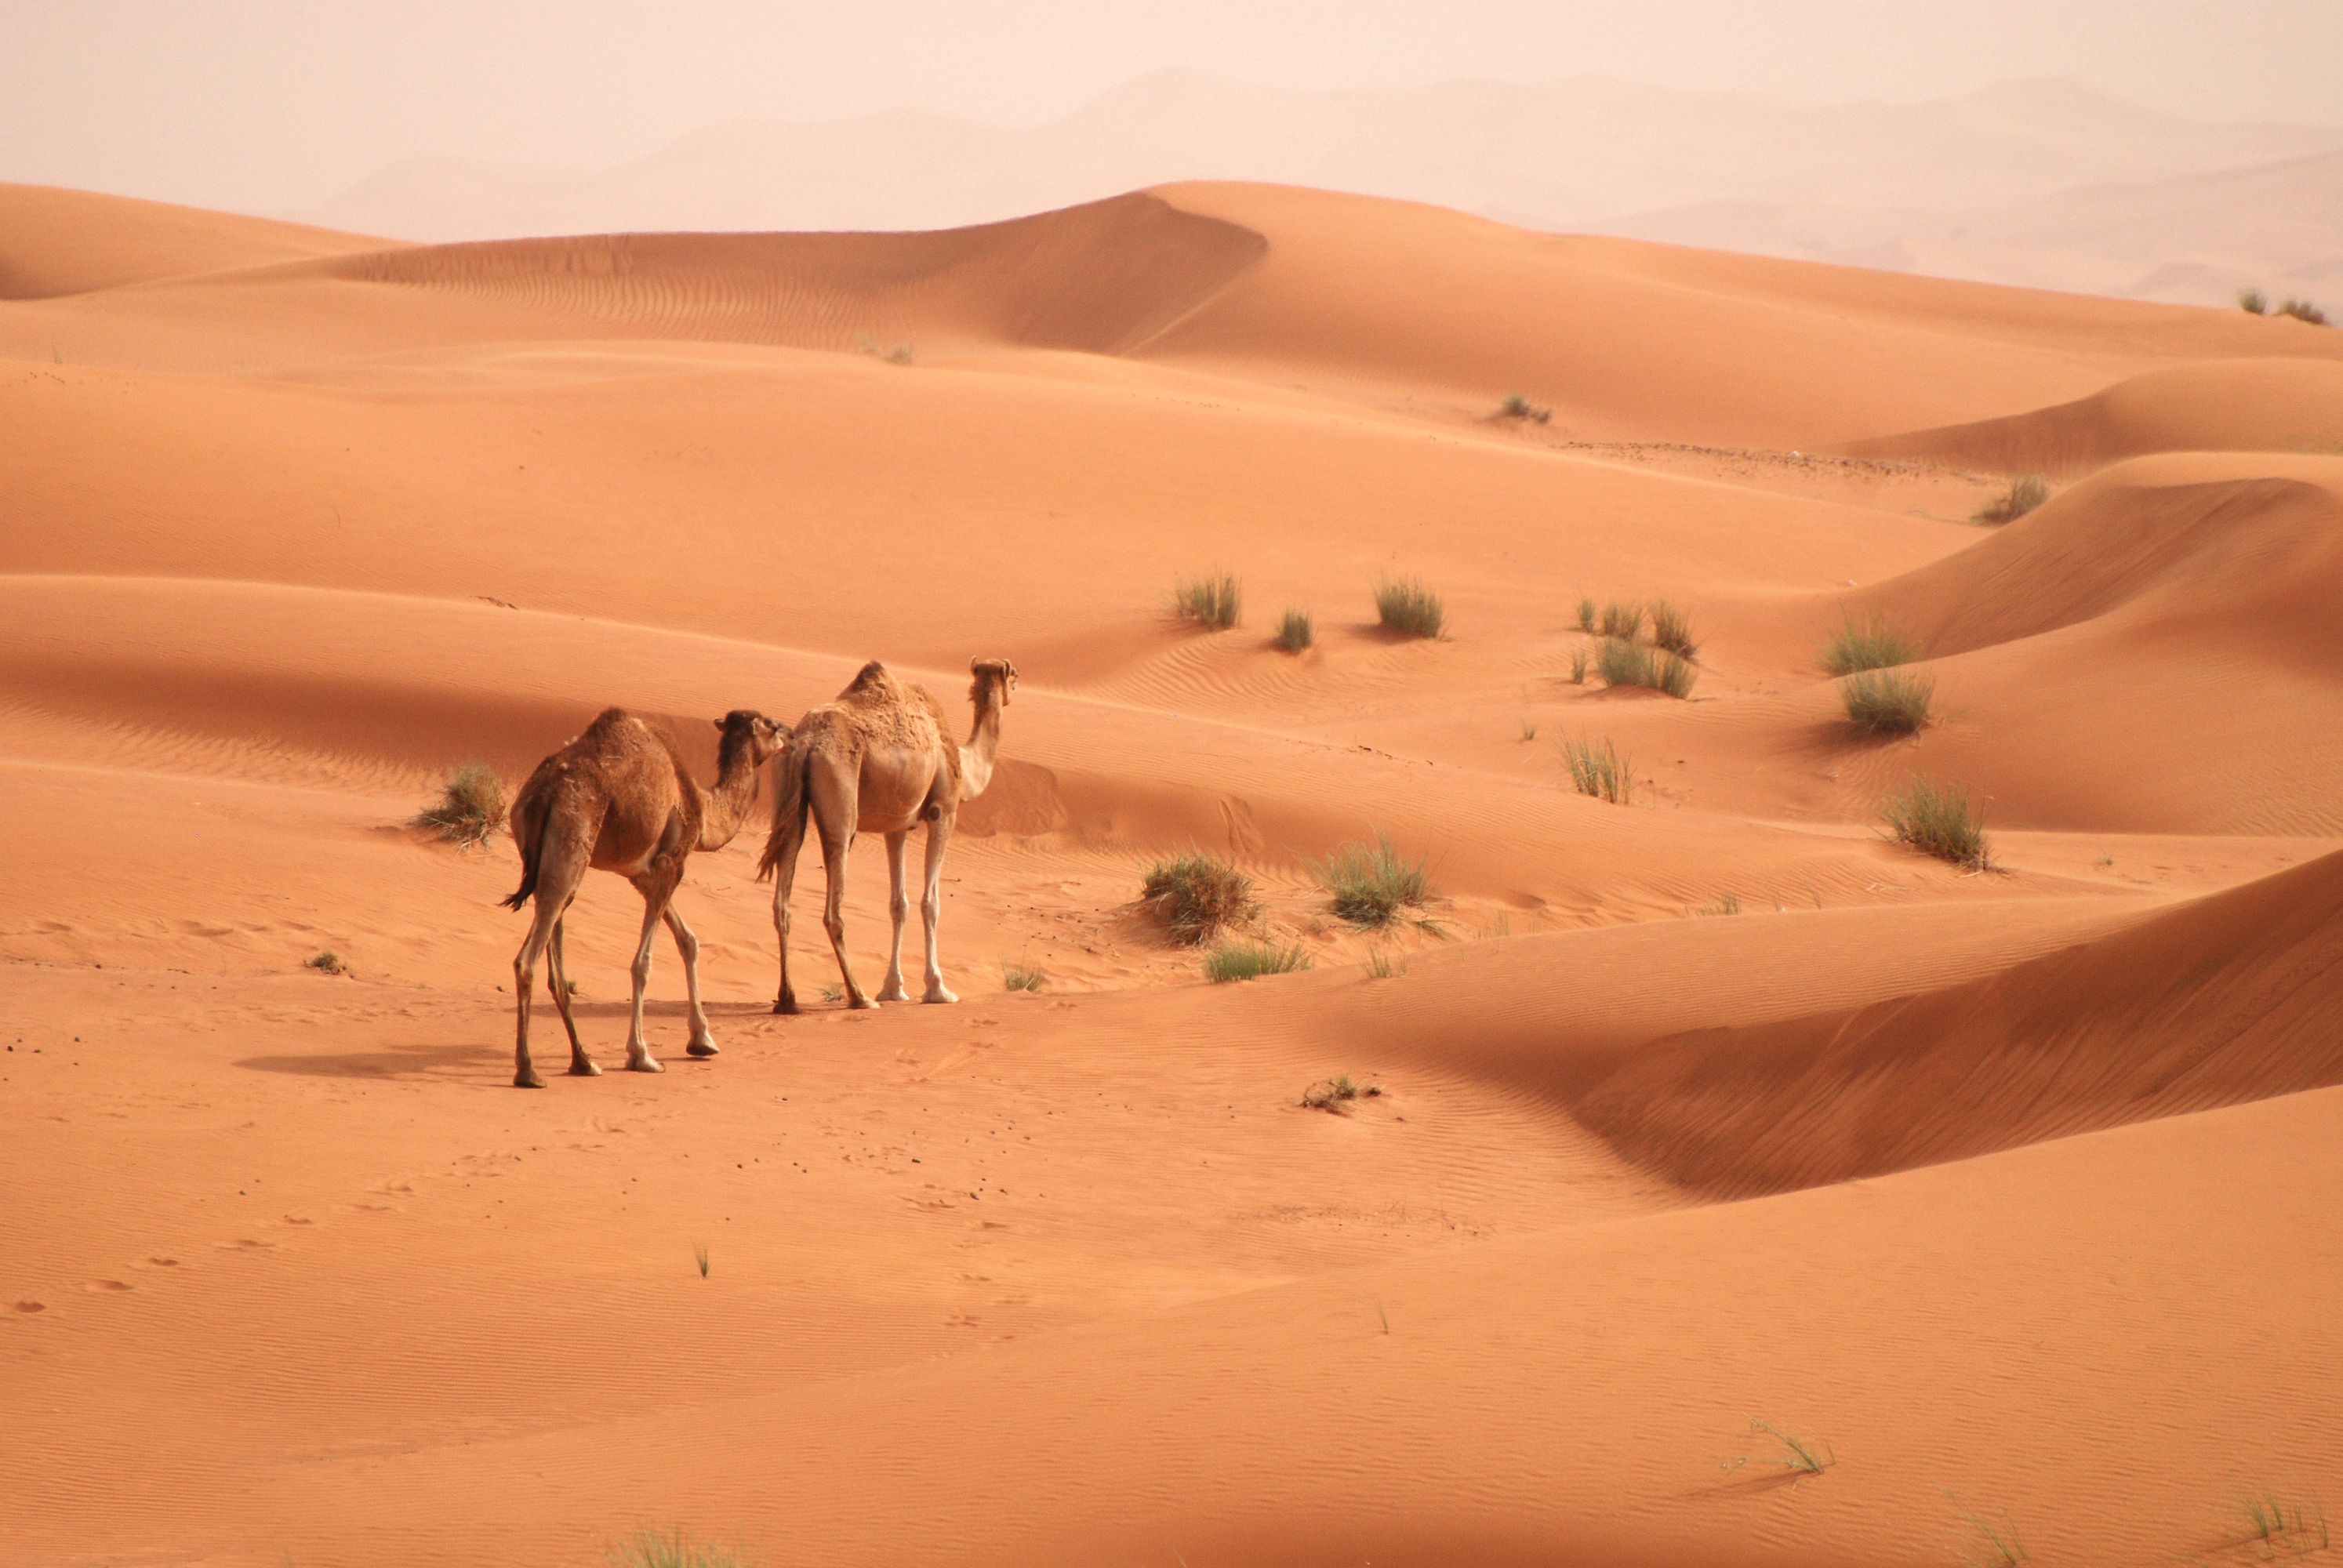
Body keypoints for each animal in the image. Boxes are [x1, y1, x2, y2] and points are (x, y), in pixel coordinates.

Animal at [502, 706, 784, 1088]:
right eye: (773, 726)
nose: (790, 736)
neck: (702, 805)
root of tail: (541, 796)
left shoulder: (643, 874)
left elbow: (688, 941)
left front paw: (703, 1040)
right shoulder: (672, 863)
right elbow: (643, 963)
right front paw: (642, 1055)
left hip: (547, 860)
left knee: (554, 949)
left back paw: (583, 1061)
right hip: (572, 846)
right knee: (527, 958)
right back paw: (528, 1070)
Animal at [759, 658, 1017, 1013]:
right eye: (1014, 675)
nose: (1014, 688)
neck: (964, 766)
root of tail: (806, 743)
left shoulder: (897, 827)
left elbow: (899, 904)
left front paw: (893, 989)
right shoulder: (943, 811)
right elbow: (930, 903)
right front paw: (938, 990)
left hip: (786, 798)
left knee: (782, 900)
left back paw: (788, 999)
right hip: (842, 802)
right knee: (833, 907)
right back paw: (859, 997)